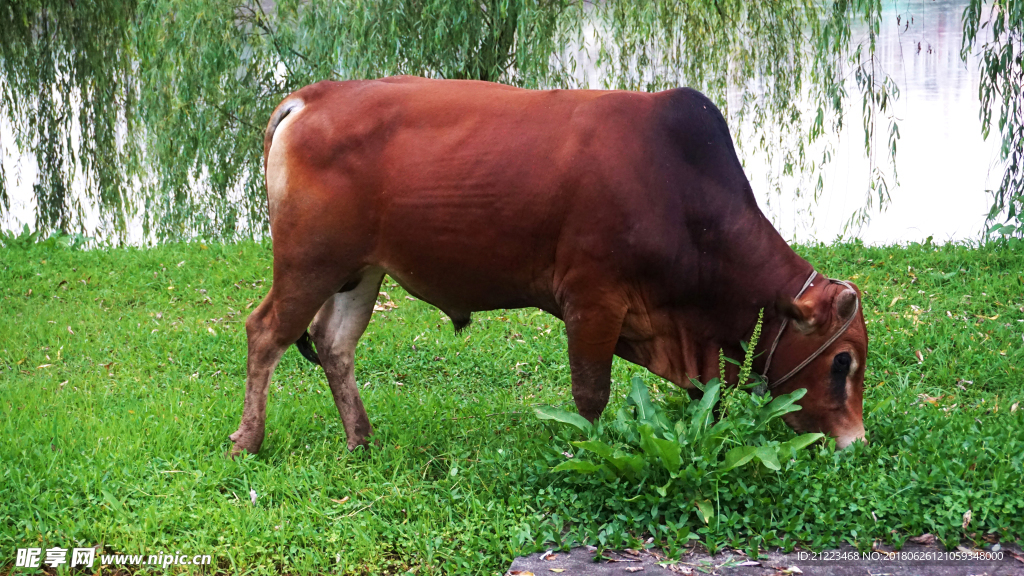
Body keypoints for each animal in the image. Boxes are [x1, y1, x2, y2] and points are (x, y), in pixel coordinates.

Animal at [228, 76, 868, 455]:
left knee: (334, 344)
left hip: (359, 272)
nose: (855, 441)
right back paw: (249, 441)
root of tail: (312, 96)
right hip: (308, 263)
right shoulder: (592, 300)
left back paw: (360, 439)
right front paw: (588, 449)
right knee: (265, 334)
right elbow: (590, 393)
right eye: (842, 362)